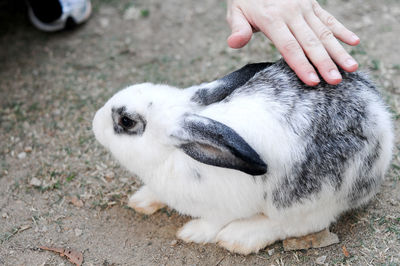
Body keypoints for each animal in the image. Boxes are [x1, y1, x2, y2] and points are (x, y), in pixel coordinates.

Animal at [91, 59, 394, 255]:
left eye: (126, 122)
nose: (94, 122)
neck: (172, 155)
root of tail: (382, 123)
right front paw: (141, 200)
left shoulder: (221, 207)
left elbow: (212, 223)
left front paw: (193, 232)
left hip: (310, 198)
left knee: (298, 224)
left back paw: (240, 238)